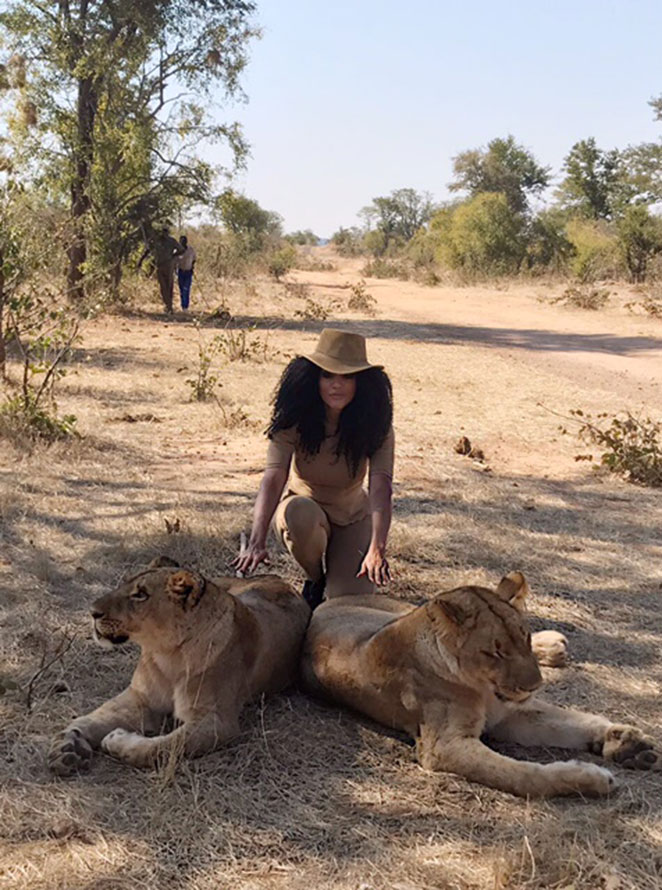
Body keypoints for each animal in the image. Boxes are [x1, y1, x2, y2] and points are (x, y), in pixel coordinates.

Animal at [48, 560, 312, 772]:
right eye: (124, 585)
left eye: (140, 594)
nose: (93, 612)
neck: (168, 653)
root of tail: (277, 578)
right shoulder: (140, 697)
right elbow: (98, 716)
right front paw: (68, 745)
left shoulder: (216, 721)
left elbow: (163, 747)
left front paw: (117, 740)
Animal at [302, 572, 662, 796]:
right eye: (494, 651)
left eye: (524, 637)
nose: (535, 685)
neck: (483, 689)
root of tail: (328, 601)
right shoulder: (445, 746)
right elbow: (521, 775)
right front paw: (590, 779)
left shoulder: (513, 712)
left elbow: (572, 720)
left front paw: (628, 743)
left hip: (403, 608)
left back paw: (554, 645)